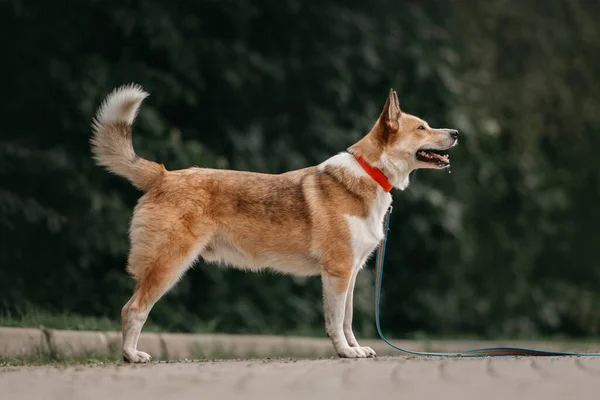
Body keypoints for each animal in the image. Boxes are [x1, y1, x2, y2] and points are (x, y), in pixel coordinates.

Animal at [89, 84, 458, 362]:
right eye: (422, 128)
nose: (455, 132)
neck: (370, 172)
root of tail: (162, 175)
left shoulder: (351, 273)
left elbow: (348, 320)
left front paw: (355, 349)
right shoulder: (337, 272)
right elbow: (336, 321)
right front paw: (344, 353)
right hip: (168, 263)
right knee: (133, 309)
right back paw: (131, 355)